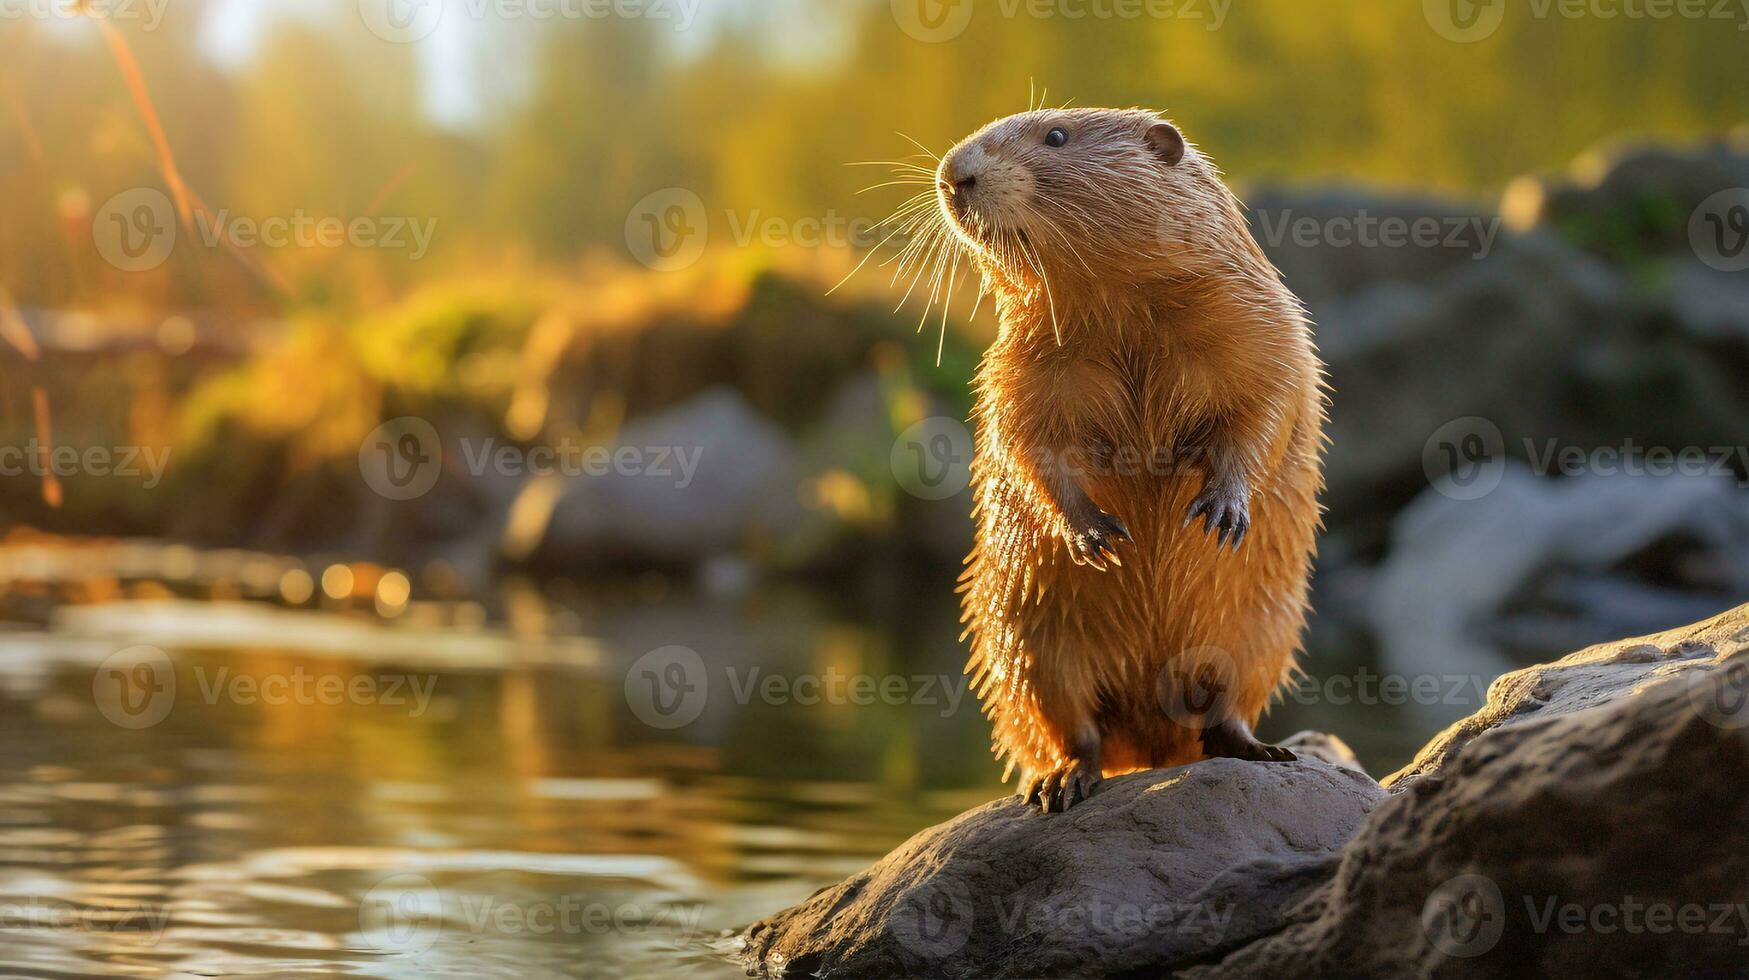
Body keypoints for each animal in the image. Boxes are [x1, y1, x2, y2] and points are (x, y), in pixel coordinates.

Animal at [923, 107, 1315, 812]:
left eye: (1055, 136)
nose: (954, 174)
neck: (1127, 320)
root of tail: (1152, 749)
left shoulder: (1263, 322)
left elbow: (1265, 409)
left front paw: (1221, 511)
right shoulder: (1021, 360)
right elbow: (1026, 441)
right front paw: (1096, 537)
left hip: (1266, 626)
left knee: (1228, 703)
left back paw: (1262, 749)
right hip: (1030, 639)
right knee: (1072, 725)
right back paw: (1059, 784)